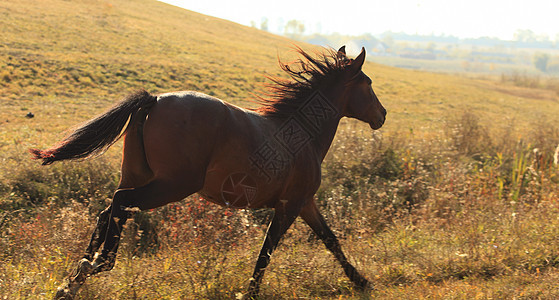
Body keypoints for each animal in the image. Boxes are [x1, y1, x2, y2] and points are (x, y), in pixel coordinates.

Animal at [30, 45, 388, 298]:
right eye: (369, 84)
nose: (382, 115)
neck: (301, 134)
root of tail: (154, 100)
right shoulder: (290, 206)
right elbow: (267, 251)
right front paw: (250, 293)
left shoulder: (305, 204)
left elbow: (331, 240)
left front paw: (361, 281)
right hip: (172, 185)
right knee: (121, 203)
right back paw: (99, 263)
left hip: (138, 175)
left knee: (109, 210)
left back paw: (73, 280)